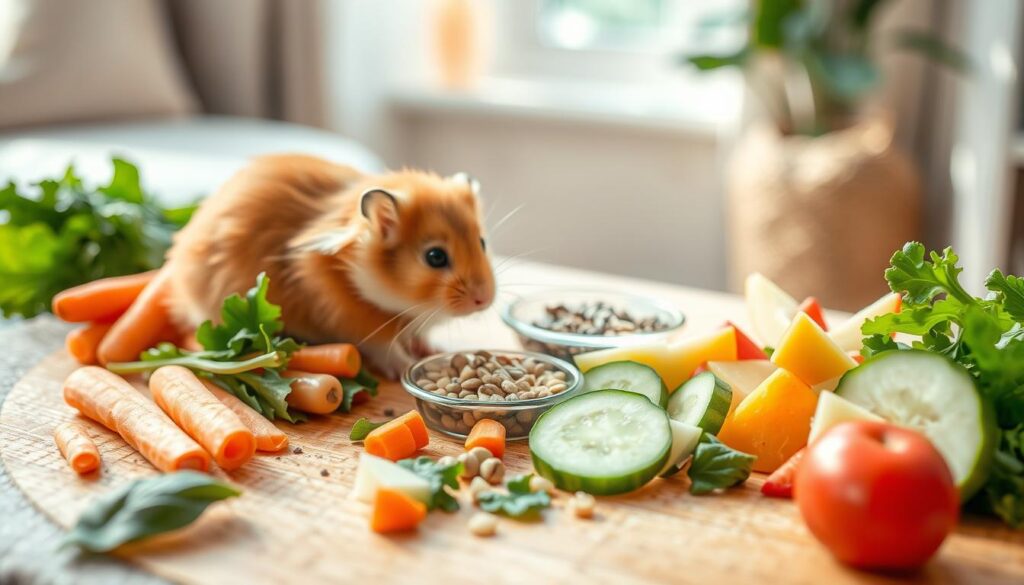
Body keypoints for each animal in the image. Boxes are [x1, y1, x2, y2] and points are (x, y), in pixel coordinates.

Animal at [165, 154, 496, 377]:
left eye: (482, 242)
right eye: (435, 257)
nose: (484, 300)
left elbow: (417, 336)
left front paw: (433, 351)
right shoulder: (355, 322)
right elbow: (385, 347)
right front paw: (407, 366)